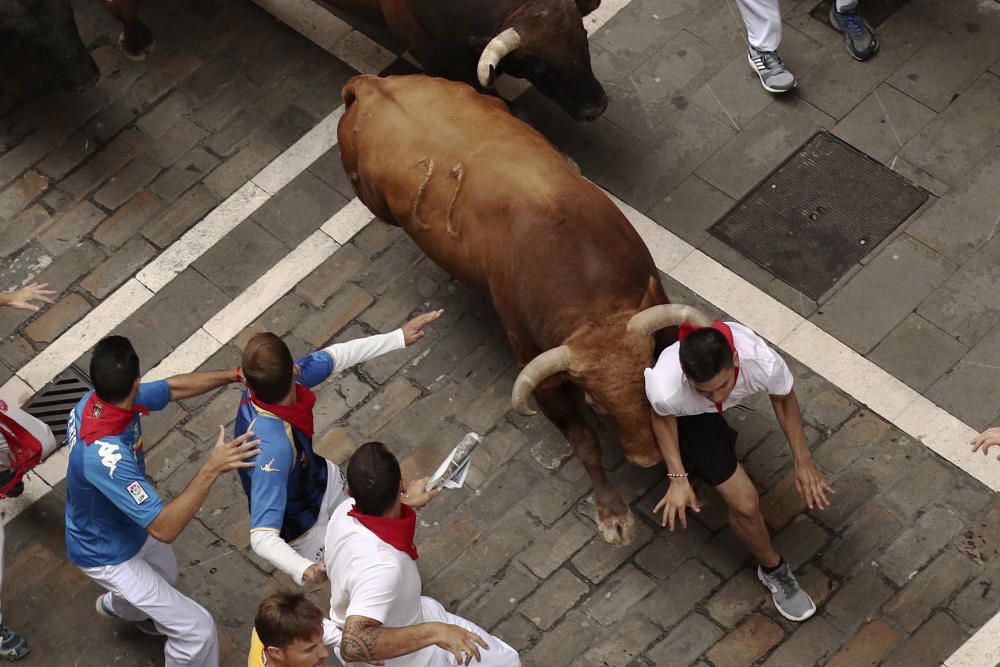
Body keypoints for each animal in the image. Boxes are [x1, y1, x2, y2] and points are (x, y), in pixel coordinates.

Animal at [340, 74, 708, 544]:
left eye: (644, 382)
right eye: (596, 403)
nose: (646, 458)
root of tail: (370, 84)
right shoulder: (543, 378)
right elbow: (584, 443)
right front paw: (612, 514)